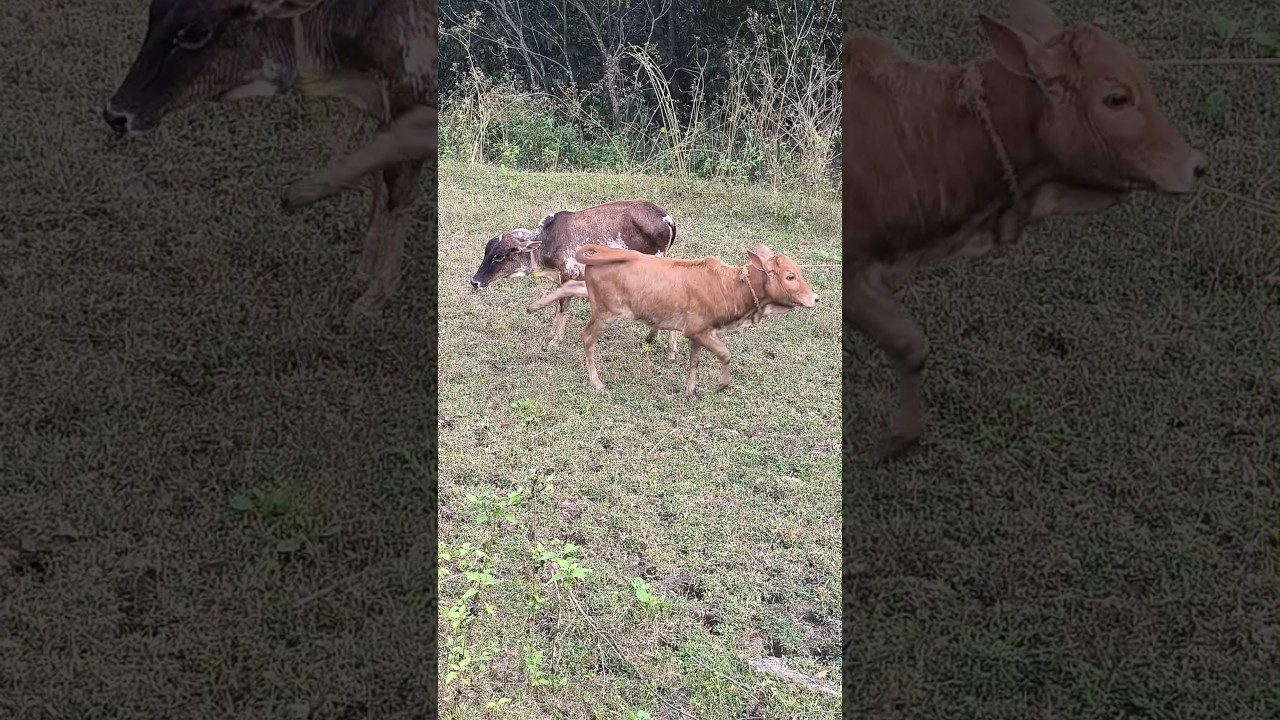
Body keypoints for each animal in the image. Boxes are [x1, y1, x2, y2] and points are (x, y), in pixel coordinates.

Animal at [101, 0, 437, 315]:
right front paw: (364, 273)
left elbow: (396, 194)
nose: (115, 114)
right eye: (153, 13)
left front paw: (373, 297)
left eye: (197, 32)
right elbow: (383, 189)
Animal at [469, 200, 681, 359]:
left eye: (499, 256)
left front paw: (555, 340)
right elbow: (556, 305)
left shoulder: (568, 276)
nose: (474, 281)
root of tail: (667, 218)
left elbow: (563, 308)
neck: (547, 242)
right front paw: (552, 331)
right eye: (487, 251)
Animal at [529, 243, 818, 397]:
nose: (814, 298)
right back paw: (596, 381)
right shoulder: (699, 330)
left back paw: (534, 306)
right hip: (606, 312)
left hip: (597, 300)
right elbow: (725, 354)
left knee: (569, 288)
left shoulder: (700, 333)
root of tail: (603, 250)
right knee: (587, 337)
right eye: (790, 277)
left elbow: (695, 361)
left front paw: (690, 390)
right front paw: (720, 385)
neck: (729, 285)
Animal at [844, 0, 1206, 461]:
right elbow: (909, 344)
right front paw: (897, 439)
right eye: (1117, 99)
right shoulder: (852, 272)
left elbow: (911, 345)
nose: (1195, 166)